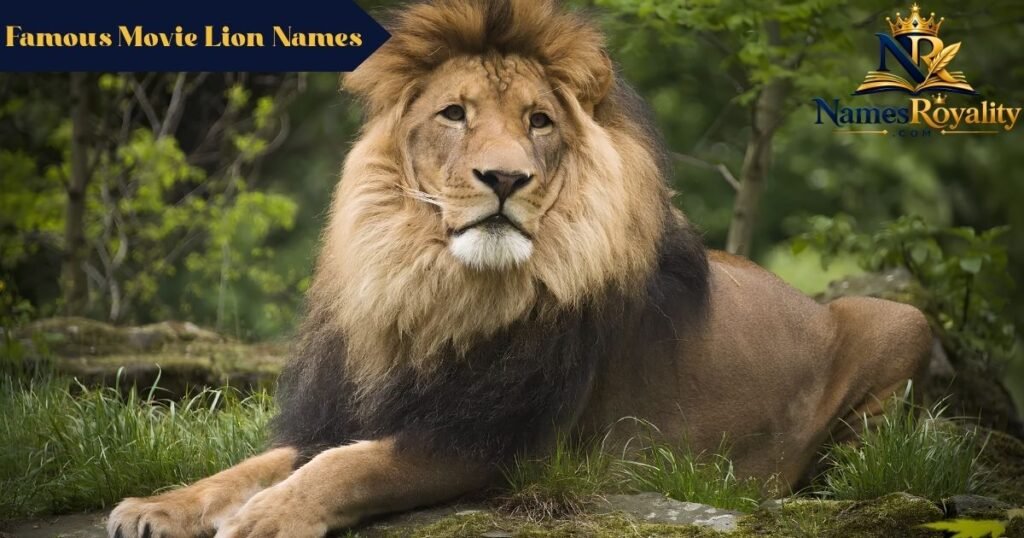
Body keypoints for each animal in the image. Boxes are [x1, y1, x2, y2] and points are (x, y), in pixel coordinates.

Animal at [107, 1, 932, 536]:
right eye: (454, 114)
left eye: (539, 121)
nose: (505, 178)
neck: (435, 290)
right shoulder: (350, 410)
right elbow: (259, 461)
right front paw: (158, 506)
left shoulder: (495, 444)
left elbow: (349, 467)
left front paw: (268, 517)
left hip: (901, 318)